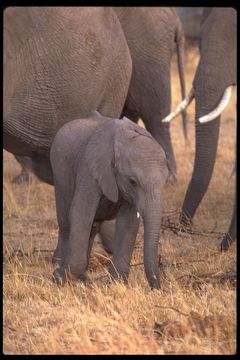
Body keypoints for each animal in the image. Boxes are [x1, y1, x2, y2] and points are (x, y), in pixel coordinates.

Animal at [50, 112, 168, 290]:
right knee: (65, 223)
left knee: (93, 226)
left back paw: (83, 278)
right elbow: (81, 214)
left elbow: (128, 222)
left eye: (165, 180)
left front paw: (116, 283)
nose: (156, 289)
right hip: (59, 177)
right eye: (132, 181)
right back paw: (59, 269)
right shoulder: (89, 170)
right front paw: (62, 278)